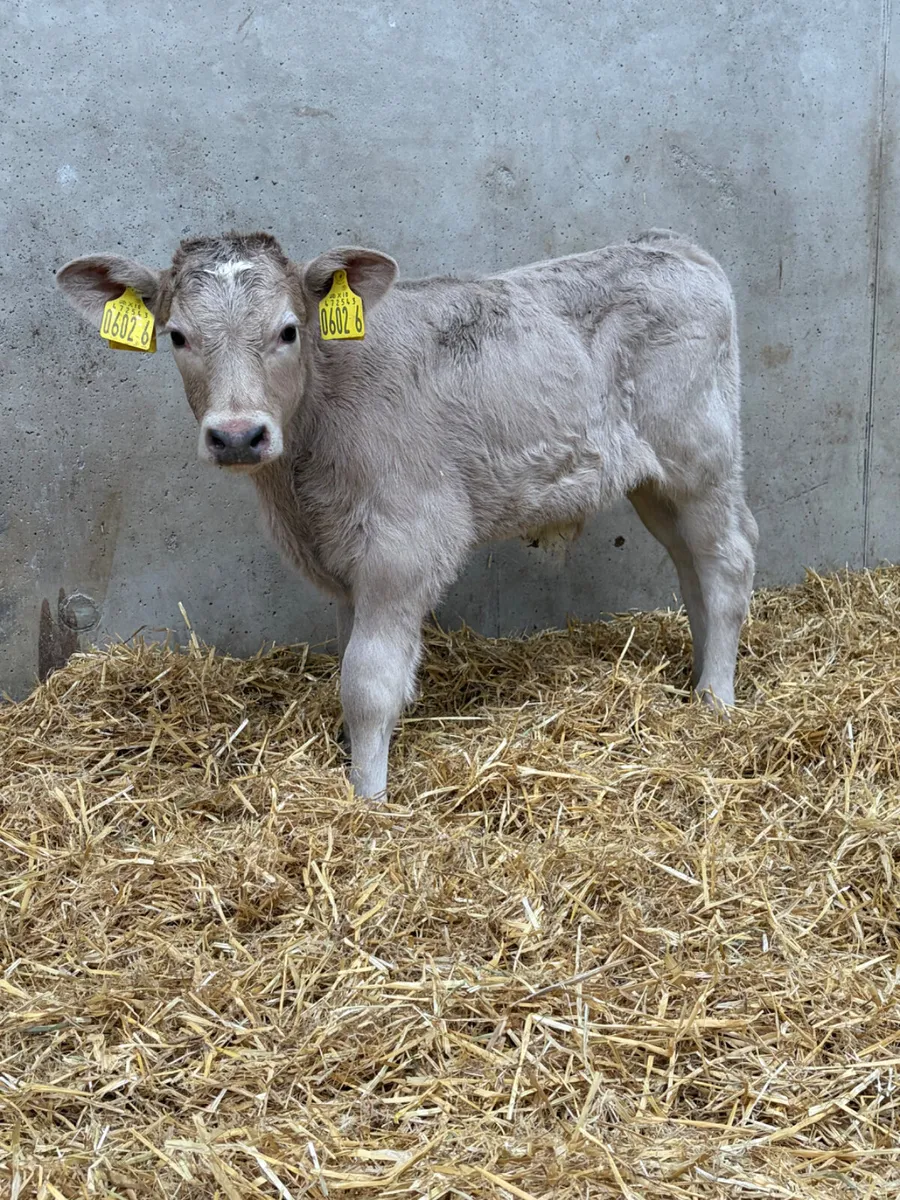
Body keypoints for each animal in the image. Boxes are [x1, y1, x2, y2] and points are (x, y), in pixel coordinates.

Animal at [57, 228, 758, 800]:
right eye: (177, 336)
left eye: (288, 331)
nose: (236, 435)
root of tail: (672, 246)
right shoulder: (341, 562)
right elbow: (349, 663)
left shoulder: (404, 546)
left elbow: (367, 681)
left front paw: (367, 796)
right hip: (655, 483)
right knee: (691, 567)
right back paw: (698, 678)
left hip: (701, 459)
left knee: (729, 561)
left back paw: (716, 701)